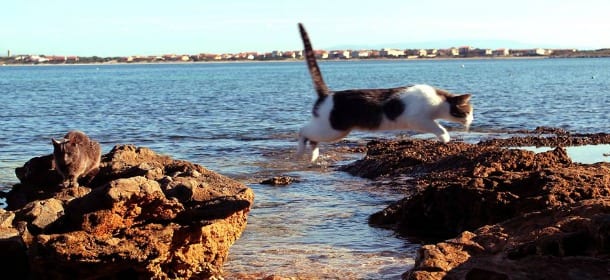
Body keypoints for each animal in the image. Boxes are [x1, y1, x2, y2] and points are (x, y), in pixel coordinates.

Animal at [296, 23, 472, 162]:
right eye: (468, 111)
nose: (471, 120)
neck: (439, 101)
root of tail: (327, 94)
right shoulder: (418, 120)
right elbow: (439, 127)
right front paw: (445, 137)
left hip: (336, 130)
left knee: (312, 138)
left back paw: (313, 156)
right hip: (332, 129)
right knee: (303, 131)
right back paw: (301, 152)